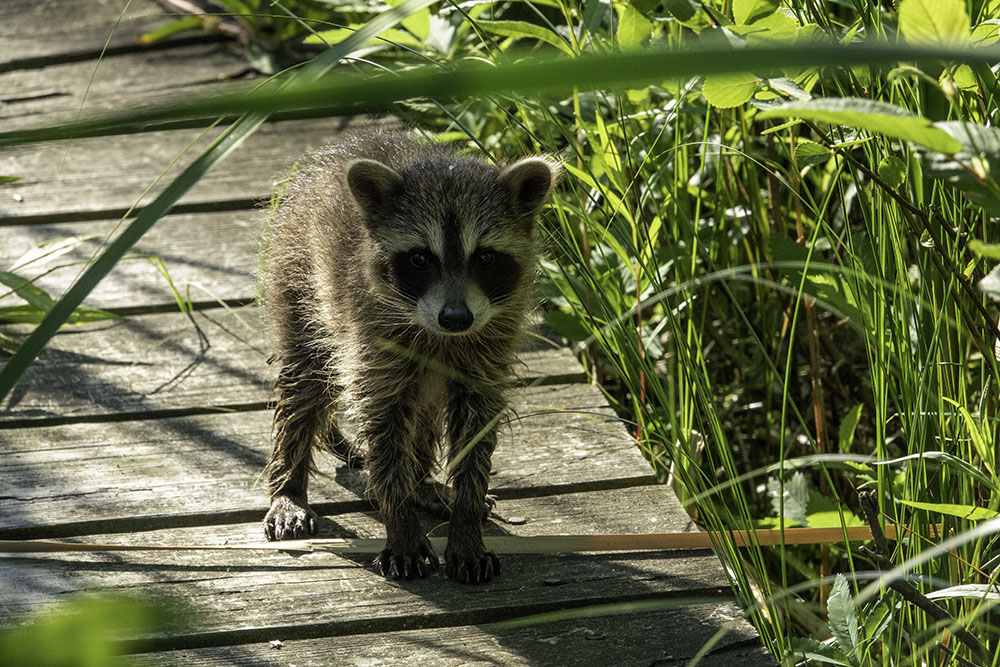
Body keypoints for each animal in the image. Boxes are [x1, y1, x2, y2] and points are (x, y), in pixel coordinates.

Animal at [262, 129, 560, 584]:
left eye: (485, 257)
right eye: (420, 258)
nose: (455, 317)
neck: (441, 335)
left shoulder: (487, 352)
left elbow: (475, 433)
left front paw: (466, 523)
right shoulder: (372, 341)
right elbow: (384, 431)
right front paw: (400, 522)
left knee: (423, 409)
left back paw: (422, 484)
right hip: (297, 276)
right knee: (304, 384)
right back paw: (289, 484)